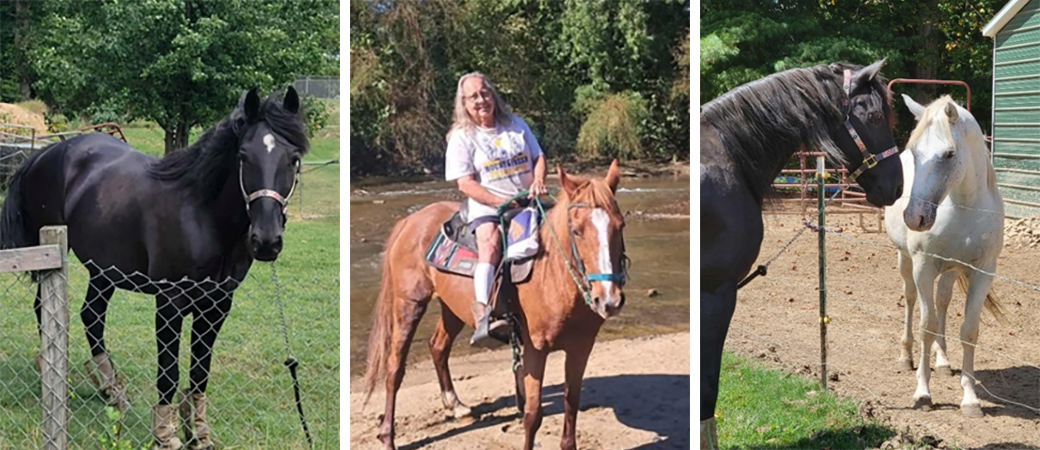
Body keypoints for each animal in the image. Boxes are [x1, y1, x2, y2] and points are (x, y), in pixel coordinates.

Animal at [0, 87, 307, 449]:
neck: (201, 214)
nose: (266, 240)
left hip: (103, 271)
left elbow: (200, 373)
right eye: (244, 156)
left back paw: (111, 390)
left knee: (91, 316)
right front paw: (166, 435)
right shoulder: (170, 303)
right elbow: (169, 372)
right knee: (46, 309)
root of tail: (46, 153)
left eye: (293, 158)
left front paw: (198, 433)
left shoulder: (217, 305)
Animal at [362, 161, 627, 450]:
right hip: (409, 303)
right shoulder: (536, 348)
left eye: (620, 225)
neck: (553, 275)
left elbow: (571, 406)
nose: (609, 299)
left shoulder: (581, 347)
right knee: (394, 367)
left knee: (438, 346)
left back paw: (455, 405)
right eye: (577, 230)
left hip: (452, 307)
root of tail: (410, 221)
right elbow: (532, 415)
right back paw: (387, 436)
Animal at [884, 94, 1005, 418]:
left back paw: (943, 361)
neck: (964, 206)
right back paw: (906, 357)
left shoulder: (983, 272)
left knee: (942, 303)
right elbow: (926, 326)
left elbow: (968, 331)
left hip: (950, 271)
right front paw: (923, 394)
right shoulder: (923, 266)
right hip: (905, 261)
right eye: (915, 152)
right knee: (911, 300)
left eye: (949, 154)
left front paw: (970, 399)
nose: (915, 217)